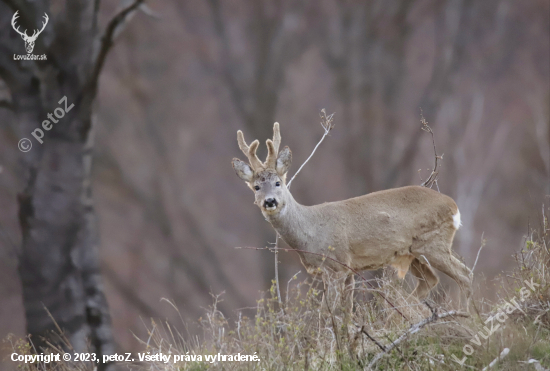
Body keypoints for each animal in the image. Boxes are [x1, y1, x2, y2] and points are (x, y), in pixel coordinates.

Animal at [232, 123, 474, 310]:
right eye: (256, 187)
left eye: (277, 182)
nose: (269, 201)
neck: (310, 232)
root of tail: (453, 207)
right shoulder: (348, 270)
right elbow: (346, 312)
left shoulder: (336, 266)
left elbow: (327, 315)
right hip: (413, 252)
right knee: (430, 281)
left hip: (433, 242)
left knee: (464, 274)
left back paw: (469, 318)